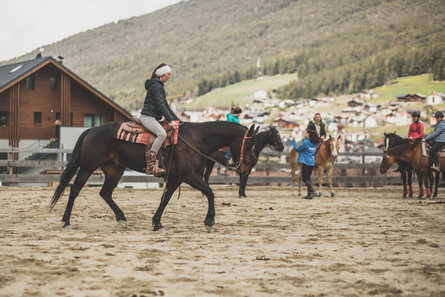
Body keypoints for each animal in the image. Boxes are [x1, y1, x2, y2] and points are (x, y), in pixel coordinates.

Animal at [49, 121, 256, 230]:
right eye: (249, 143)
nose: (246, 166)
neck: (196, 140)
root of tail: (91, 130)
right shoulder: (190, 176)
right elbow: (210, 192)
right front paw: (209, 219)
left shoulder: (176, 178)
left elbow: (165, 199)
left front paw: (156, 221)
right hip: (87, 167)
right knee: (75, 189)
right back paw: (66, 220)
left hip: (115, 170)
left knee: (105, 193)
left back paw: (122, 218)